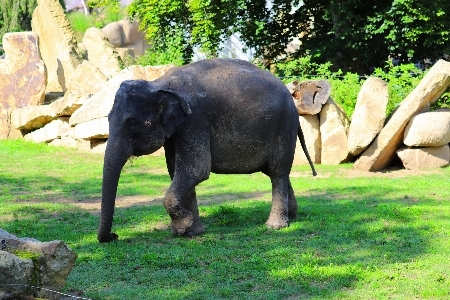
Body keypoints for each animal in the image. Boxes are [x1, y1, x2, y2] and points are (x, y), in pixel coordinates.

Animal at [98, 58, 316, 244]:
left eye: (133, 123)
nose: (114, 235)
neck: (159, 84)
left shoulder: (195, 120)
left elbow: (196, 170)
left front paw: (183, 227)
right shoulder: (178, 130)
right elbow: (176, 170)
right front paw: (191, 232)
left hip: (283, 126)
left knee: (278, 171)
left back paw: (275, 227)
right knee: (279, 173)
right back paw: (292, 216)